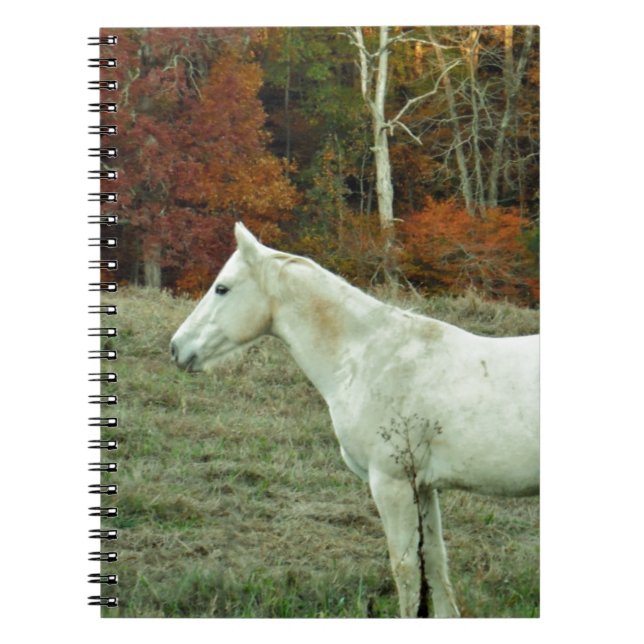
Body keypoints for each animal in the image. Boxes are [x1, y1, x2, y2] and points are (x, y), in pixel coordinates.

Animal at [170, 222, 539, 618]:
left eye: (222, 288)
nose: (177, 348)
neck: (371, 357)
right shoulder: (422, 486)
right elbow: (434, 561)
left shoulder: (392, 484)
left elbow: (406, 568)